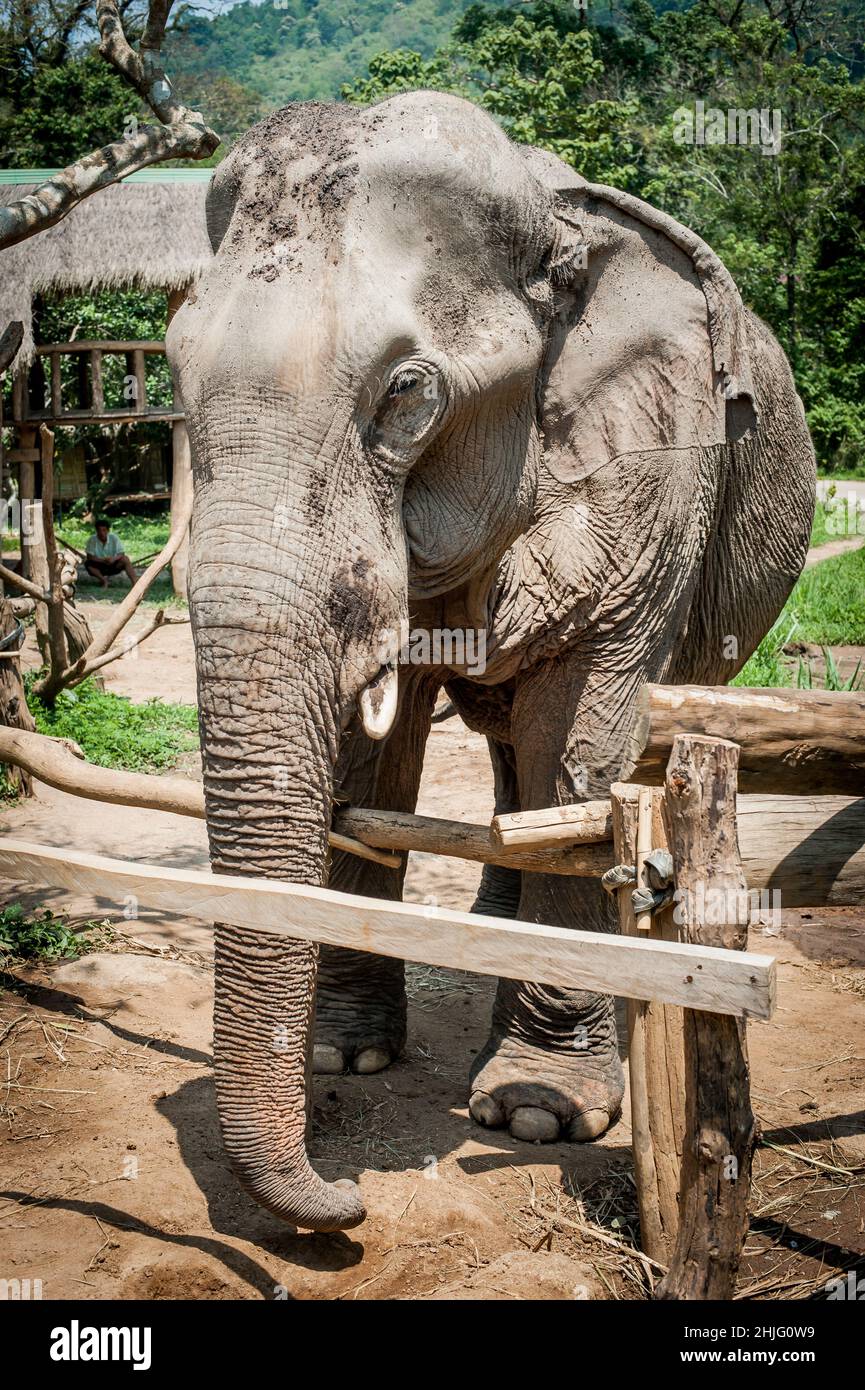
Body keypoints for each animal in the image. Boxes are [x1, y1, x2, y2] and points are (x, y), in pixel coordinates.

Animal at [164, 92, 817, 1234]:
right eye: (168, 368)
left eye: (404, 396)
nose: (344, 1197)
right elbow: (372, 757)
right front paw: (342, 1055)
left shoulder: (655, 471)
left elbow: (582, 746)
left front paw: (536, 1111)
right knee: (508, 751)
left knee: (555, 752)